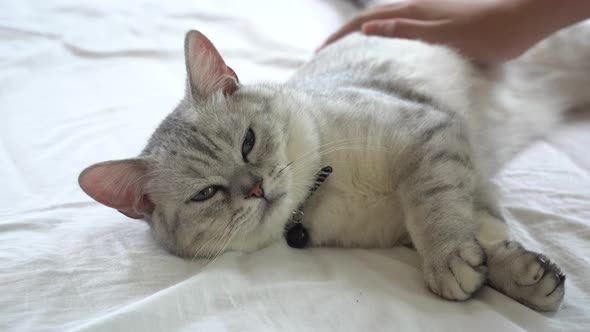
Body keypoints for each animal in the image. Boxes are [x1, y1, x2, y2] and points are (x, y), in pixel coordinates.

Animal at [78, 23, 590, 312]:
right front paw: (522, 276)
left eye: (247, 143)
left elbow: (437, 209)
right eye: (205, 194)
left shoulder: (428, 137)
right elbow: (481, 232)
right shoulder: (434, 189)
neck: (327, 191)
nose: (256, 187)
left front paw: (454, 262)